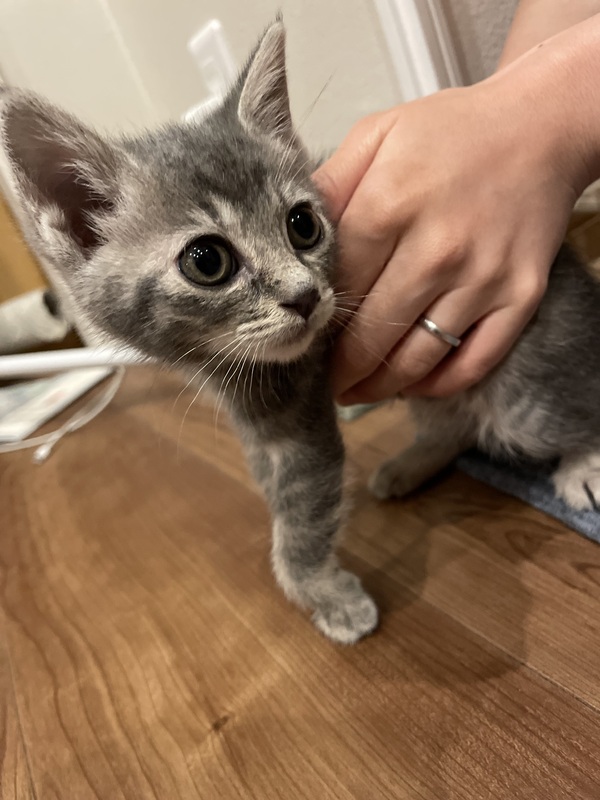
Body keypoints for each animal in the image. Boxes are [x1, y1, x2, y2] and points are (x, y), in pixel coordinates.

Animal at [1, 21, 599, 646]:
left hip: (524, 388)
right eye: (207, 261)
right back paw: (414, 461)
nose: (306, 295)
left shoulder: (299, 420)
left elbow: (302, 516)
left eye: (303, 225)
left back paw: (582, 462)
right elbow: (274, 490)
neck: (216, 361)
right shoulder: (258, 421)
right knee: (455, 422)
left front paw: (326, 594)